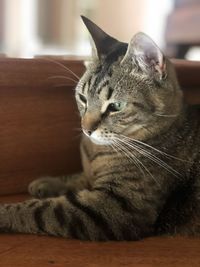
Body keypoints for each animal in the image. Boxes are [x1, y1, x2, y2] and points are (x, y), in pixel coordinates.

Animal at [0, 16, 200, 243]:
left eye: (116, 106)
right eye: (82, 98)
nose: (86, 129)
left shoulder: (114, 207)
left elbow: (39, 211)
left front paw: (5, 212)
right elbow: (77, 177)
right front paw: (47, 182)